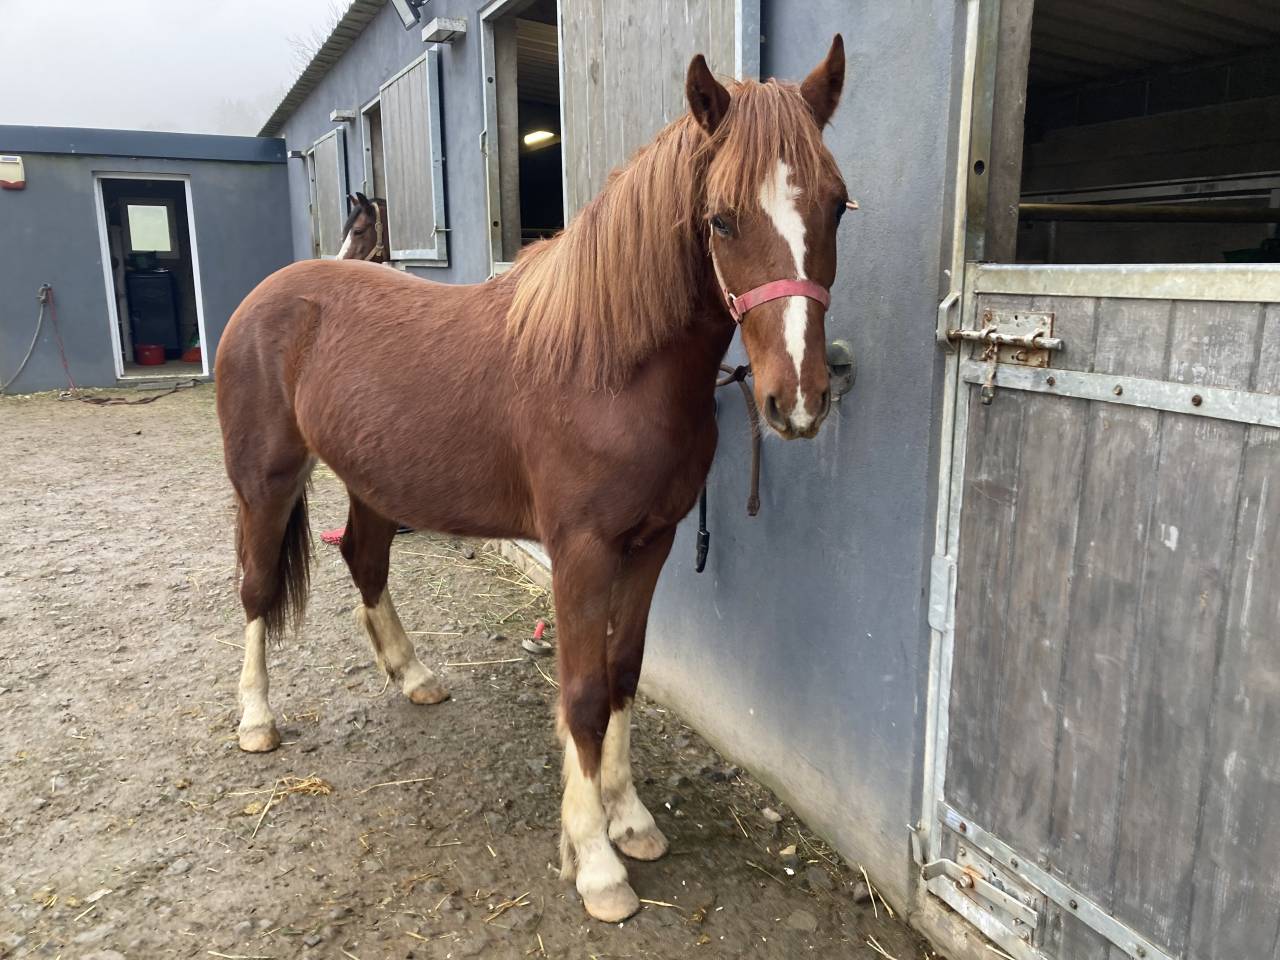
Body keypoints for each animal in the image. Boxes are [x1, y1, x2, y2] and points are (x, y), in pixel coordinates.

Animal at [215, 37, 848, 922]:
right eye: (720, 217)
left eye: (837, 206)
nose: (798, 400)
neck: (609, 363)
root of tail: (269, 295)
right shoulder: (580, 552)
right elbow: (582, 691)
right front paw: (596, 863)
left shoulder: (653, 543)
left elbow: (623, 675)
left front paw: (630, 819)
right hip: (266, 480)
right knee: (253, 589)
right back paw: (256, 720)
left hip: (373, 484)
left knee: (365, 560)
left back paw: (414, 678)